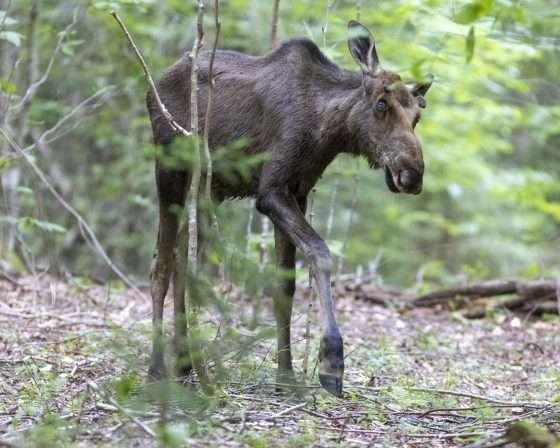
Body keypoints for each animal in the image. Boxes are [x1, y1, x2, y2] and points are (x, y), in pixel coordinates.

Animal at [147, 22, 430, 398]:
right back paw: (156, 367)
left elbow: (285, 287)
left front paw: (285, 375)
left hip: (207, 190)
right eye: (381, 105)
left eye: (417, 115)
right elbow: (320, 253)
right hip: (169, 172)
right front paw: (331, 362)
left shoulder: (298, 191)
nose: (412, 173)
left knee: (184, 263)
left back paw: (183, 363)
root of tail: (156, 84)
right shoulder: (270, 192)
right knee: (161, 267)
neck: (327, 131)